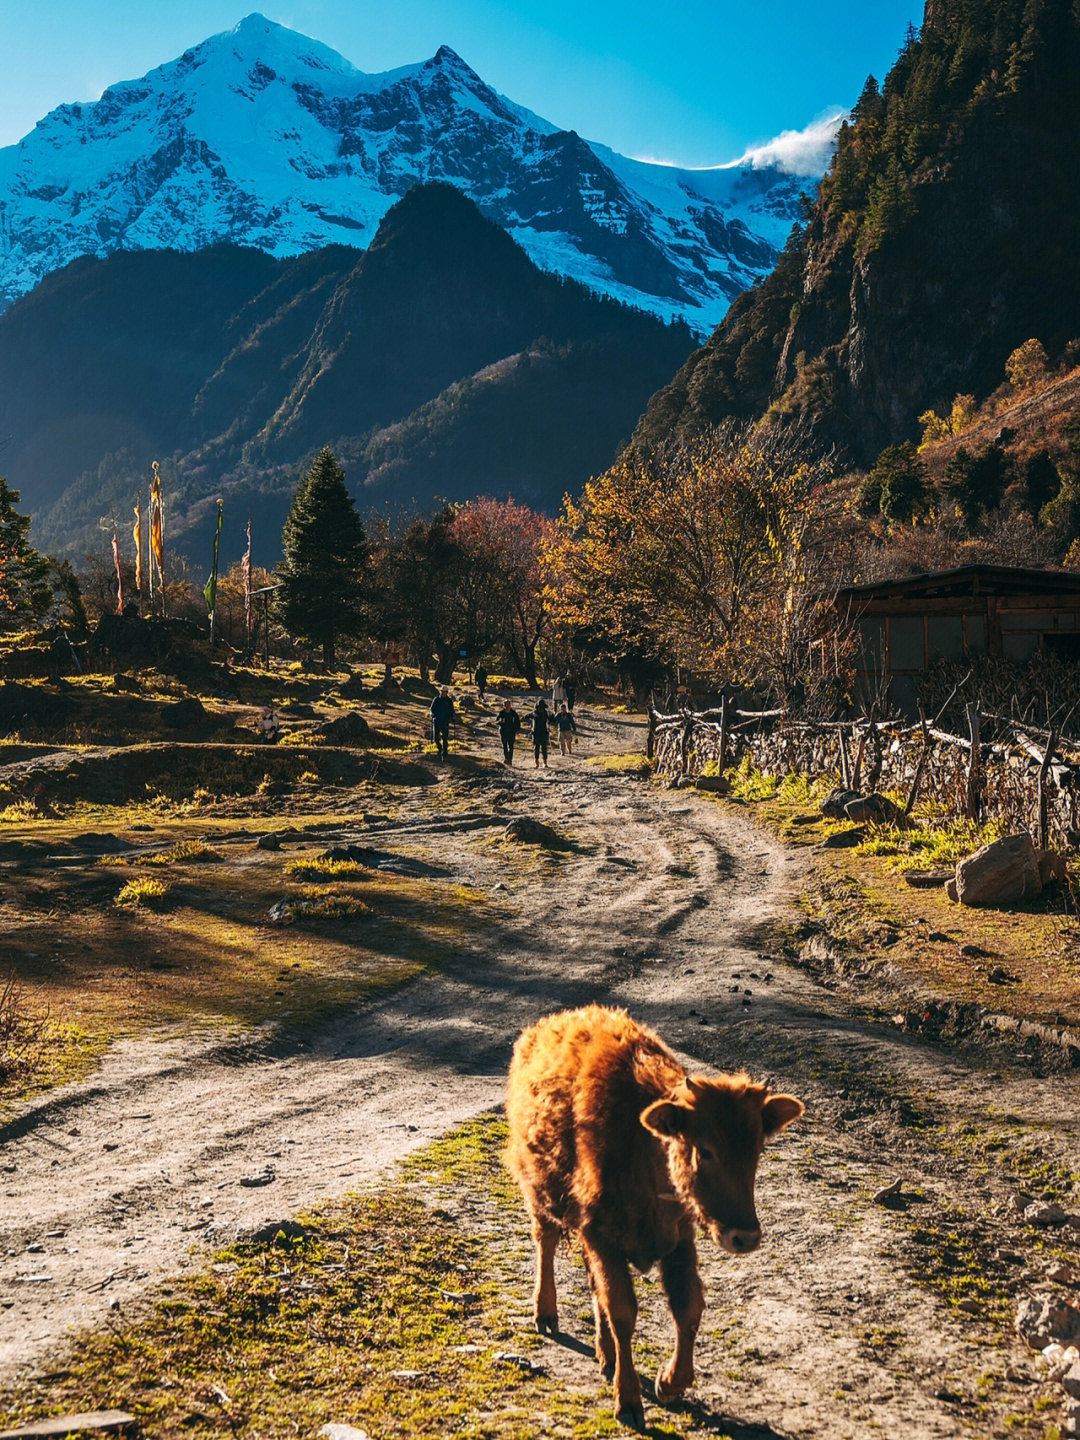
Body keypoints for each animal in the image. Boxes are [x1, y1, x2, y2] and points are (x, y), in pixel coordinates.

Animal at [506, 1002, 806, 1428]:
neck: (644, 1149)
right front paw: (629, 1401)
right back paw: (546, 1314)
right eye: (705, 1150)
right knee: (545, 1244)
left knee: (591, 1282)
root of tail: (543, 1028)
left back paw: (605, 1353)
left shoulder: (676, 1239)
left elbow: (687, 1307)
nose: (744, 1236)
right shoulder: (602, 1236)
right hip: (539, 1194)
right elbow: (623, 1312)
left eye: (757, 1150)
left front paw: (668, 1382)